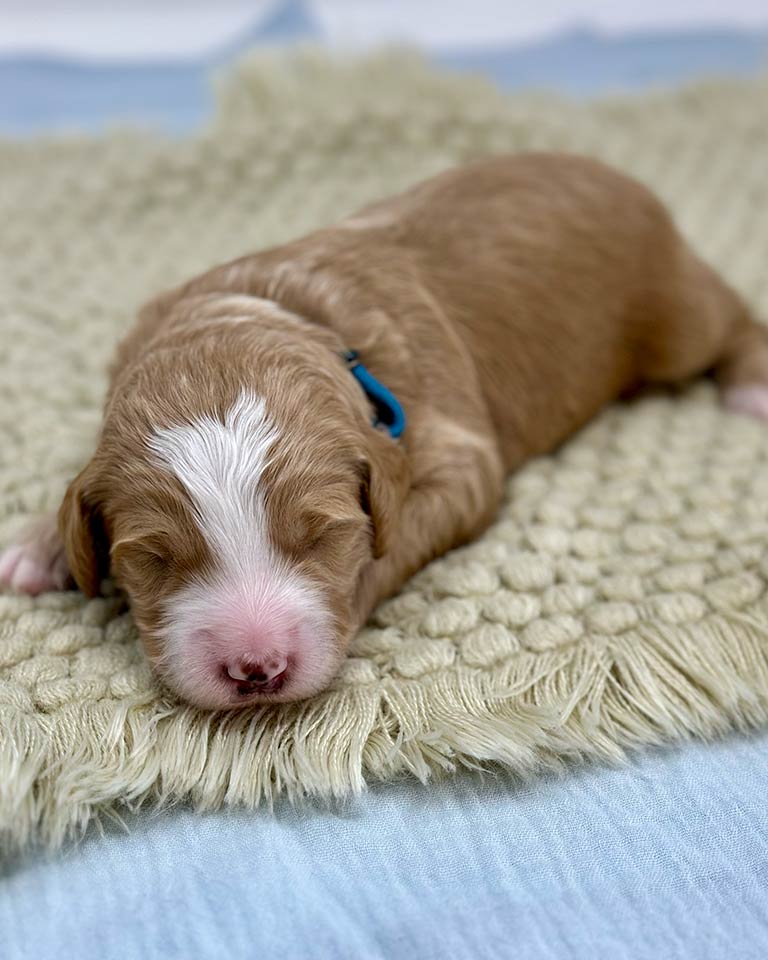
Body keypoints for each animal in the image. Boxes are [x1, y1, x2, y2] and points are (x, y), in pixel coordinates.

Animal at [1, 154, 768, 708]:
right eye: (155, 559)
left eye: (322, 537)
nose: (257, 669)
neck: (268, 313)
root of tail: (613, 170)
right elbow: (76, 484)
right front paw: (39, 546)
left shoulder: (461, 455)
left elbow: (391, 546)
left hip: (675, 319)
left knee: (732, 314)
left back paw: (752, 383)